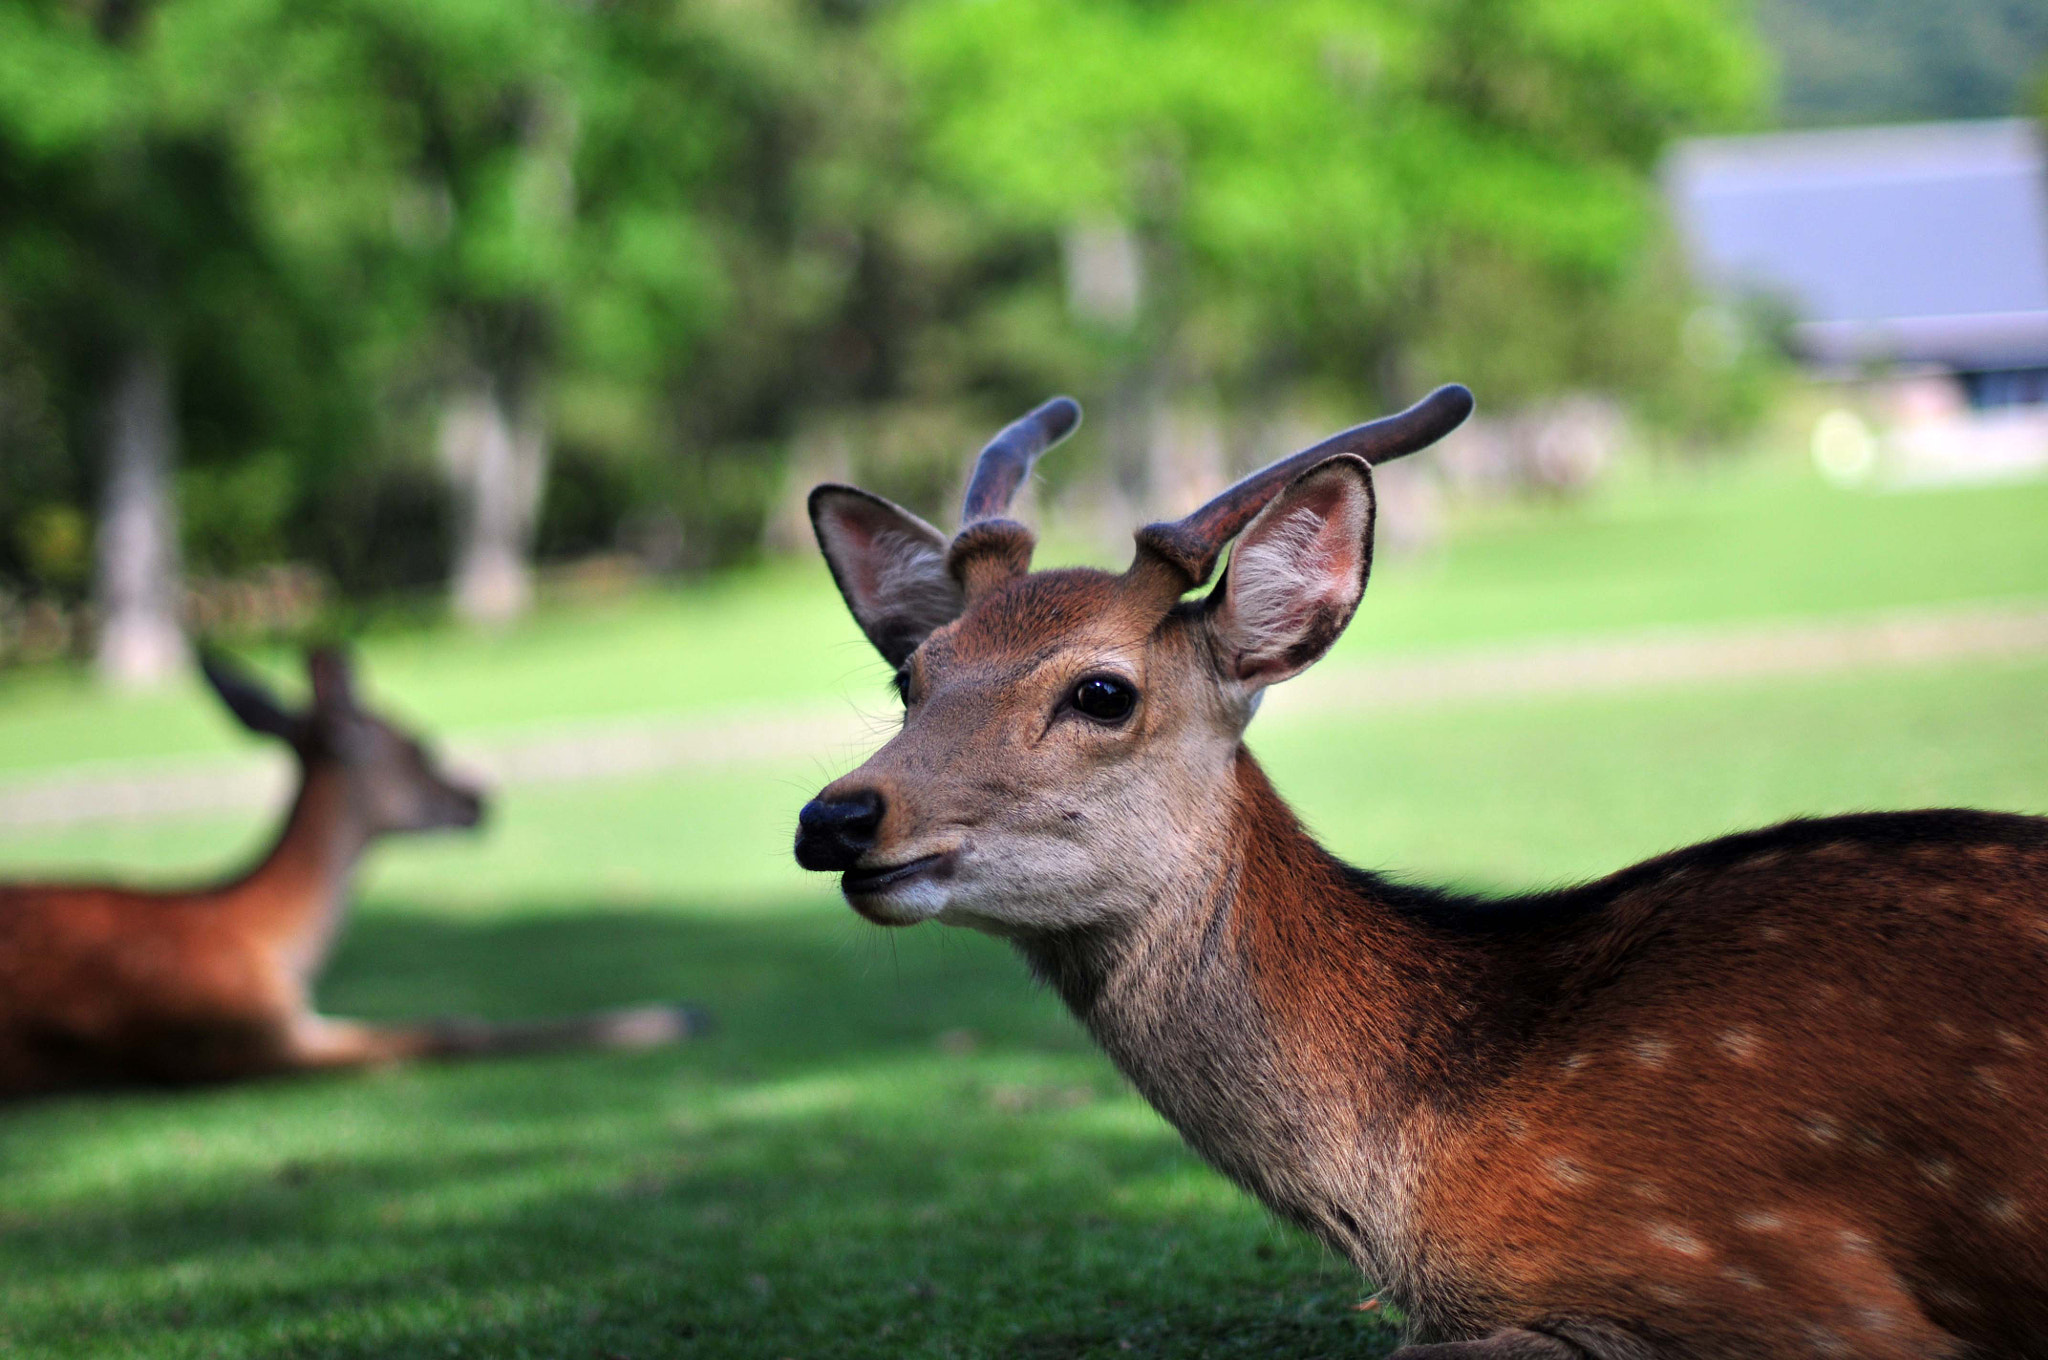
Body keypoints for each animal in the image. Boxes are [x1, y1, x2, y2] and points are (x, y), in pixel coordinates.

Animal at [0, 643, 704, 1097]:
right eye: (419, 744)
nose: (478, 799)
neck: (258, 936)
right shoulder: (236, 1039)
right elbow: (447, 1030)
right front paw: (674, 1017)